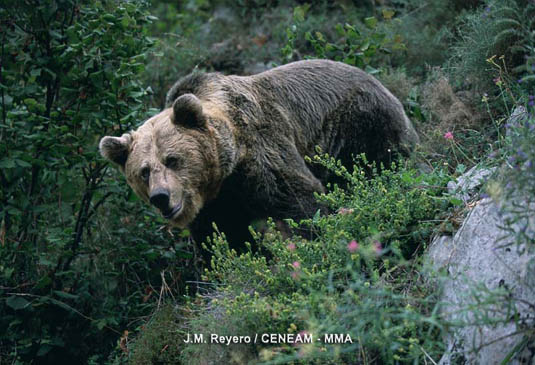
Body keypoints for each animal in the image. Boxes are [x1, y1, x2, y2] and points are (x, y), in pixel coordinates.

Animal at [99, 59, 418, 242]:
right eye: (143, 172)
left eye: (172, 159)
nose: (161, 197)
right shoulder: (218, 201)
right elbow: (224, 237)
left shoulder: (262, 150)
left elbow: (298, 197)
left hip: (360, 122)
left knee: (382, 158)